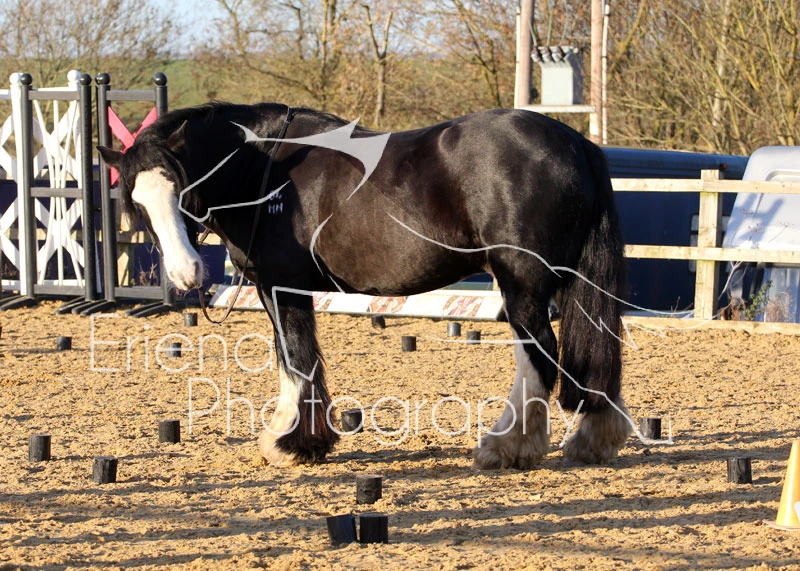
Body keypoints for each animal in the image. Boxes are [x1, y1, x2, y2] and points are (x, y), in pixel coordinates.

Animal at [98, 102, 632, 469]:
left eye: (182, 190)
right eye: (137, 203)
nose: (187, 273)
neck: (266, 170)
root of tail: (575, 142)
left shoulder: (282, 288)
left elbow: (297, 359)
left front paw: (289, 443)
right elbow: (292, 360)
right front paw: (305, 440)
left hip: (521, 283)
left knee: (538, 354)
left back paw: (507, 446)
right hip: (567, 286)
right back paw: (592, 438)